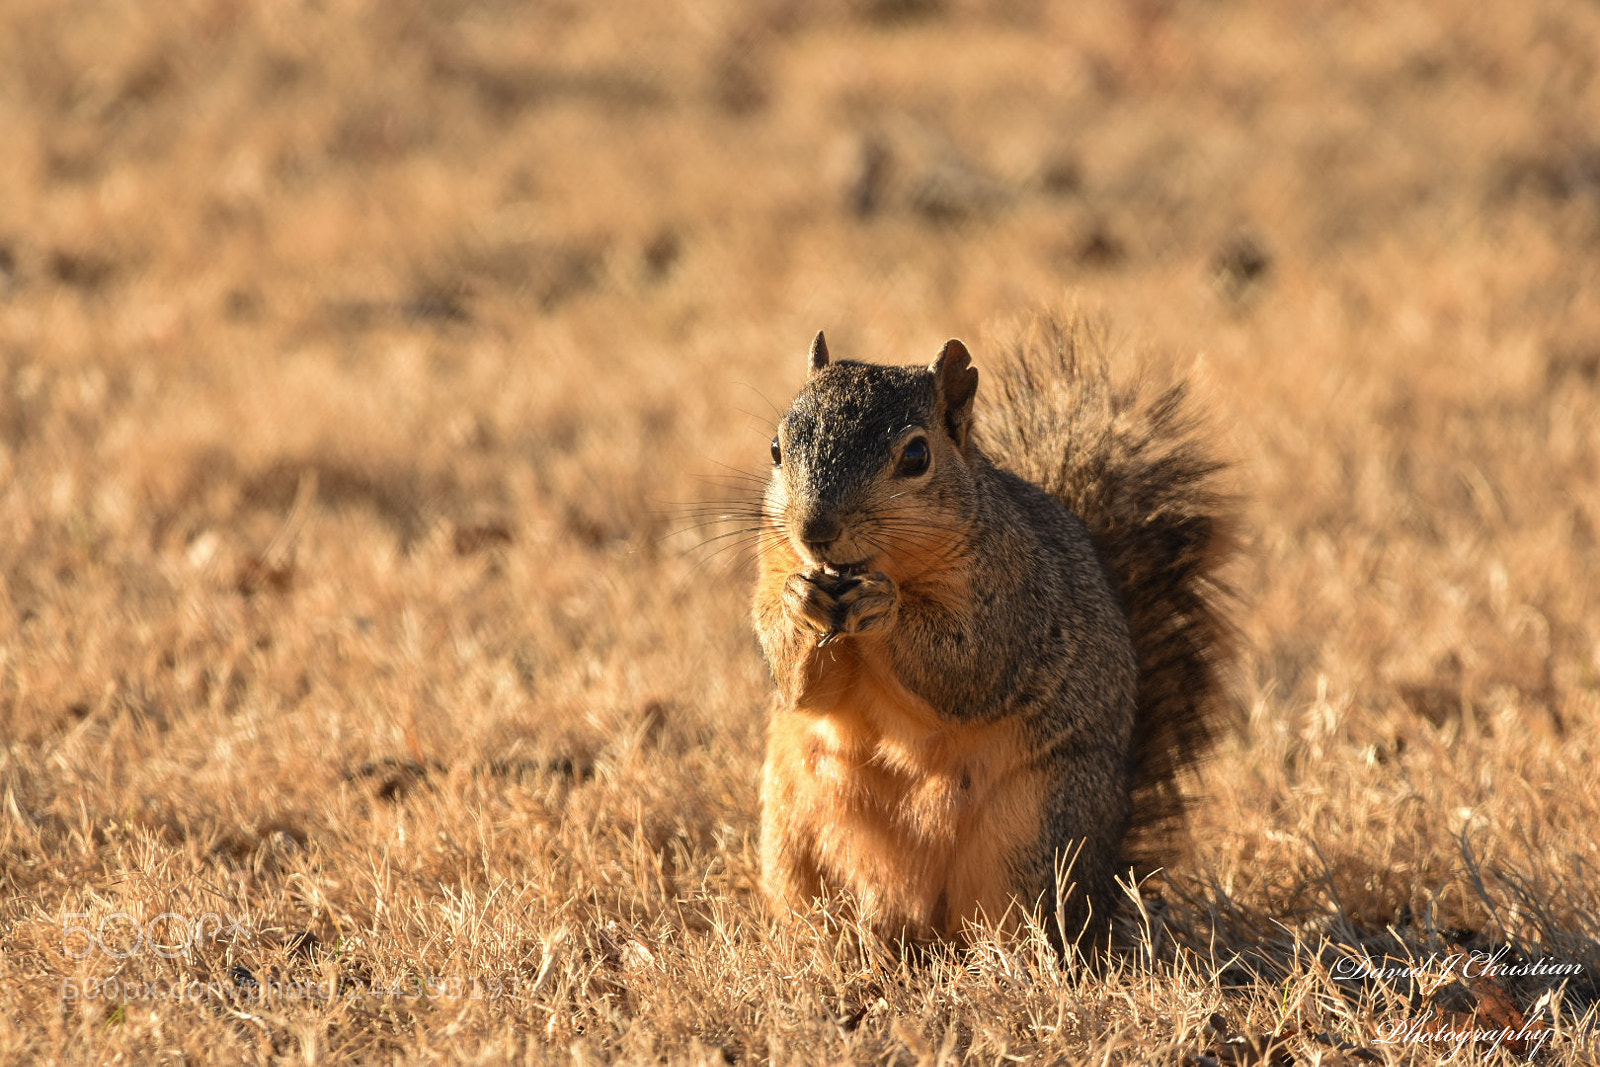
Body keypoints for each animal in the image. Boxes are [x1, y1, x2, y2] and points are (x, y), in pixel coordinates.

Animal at [752, 315, 1233, 947]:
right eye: (777, 448)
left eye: (916, 455)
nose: (815, 530)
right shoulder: (772, 561)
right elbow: (799, 685)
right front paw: (797, 602)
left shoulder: (1016, 599)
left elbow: (971, 667)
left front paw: (886, 606)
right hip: (791, 832)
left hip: (1034, 834)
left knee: (1020, 920)